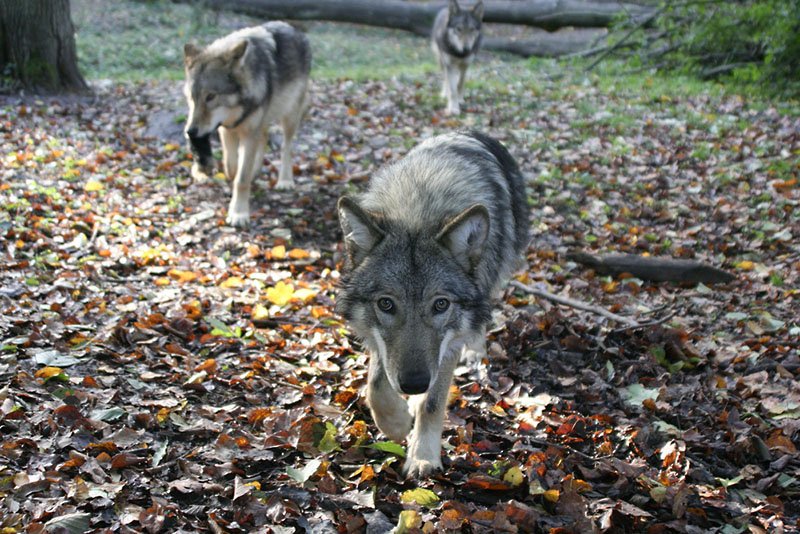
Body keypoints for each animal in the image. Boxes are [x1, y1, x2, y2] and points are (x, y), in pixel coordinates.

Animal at [183, 22, 310, 228]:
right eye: (191, 98)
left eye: (211, 96)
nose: (191, 132)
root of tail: (293, 28)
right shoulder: (226, 129)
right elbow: (231, 166)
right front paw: (236, 176)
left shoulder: (249, 132)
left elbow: (241, 179)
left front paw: (239, 213)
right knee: (264, 137)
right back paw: (256, 170)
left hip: (290, 115)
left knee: (286, 145)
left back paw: (285, 180)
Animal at [334, 132, 528, 480]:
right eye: (386, 304)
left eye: (440, 305)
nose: (414, 383)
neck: (419, 213)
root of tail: (468, 132)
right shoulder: (380, 339)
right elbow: (375, 383)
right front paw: (395, 422)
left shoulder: (447, 345)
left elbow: (432, 403)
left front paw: (422, 456)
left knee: (482, 315)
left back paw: (475, 351)